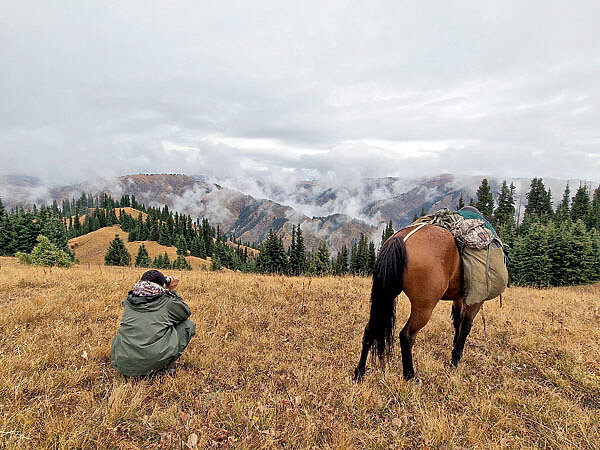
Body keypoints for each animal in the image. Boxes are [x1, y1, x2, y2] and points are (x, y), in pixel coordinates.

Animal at [352, 223, 482, 382]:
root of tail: (400, 239)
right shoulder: (476, 299)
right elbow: (466, 326)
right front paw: (455, 360)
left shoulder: (459, 297)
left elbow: (458, 321)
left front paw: (454, 347)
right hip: (424, 307)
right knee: (406, 335)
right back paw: (410, 375)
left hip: (386, 294)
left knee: (370, 329)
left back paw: (359, 373)